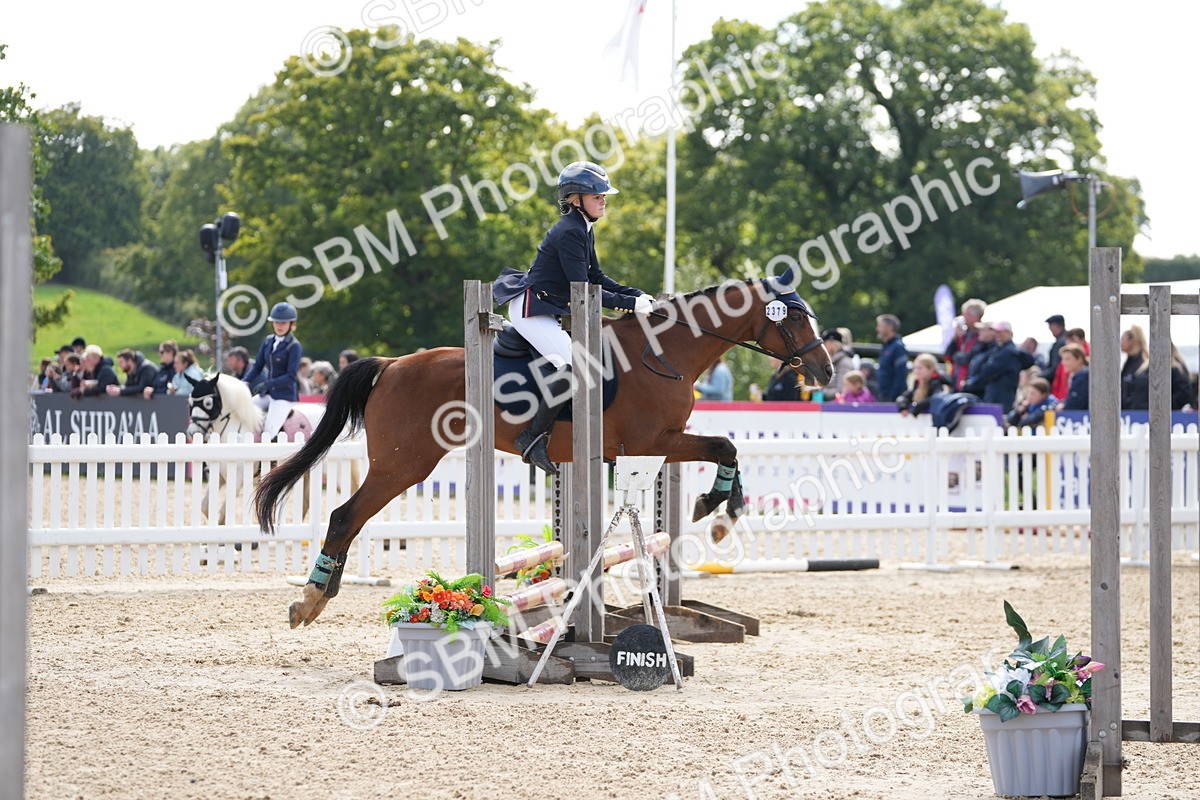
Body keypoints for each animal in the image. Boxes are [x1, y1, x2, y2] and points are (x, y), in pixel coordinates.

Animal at [255, 275, 833, 628]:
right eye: (793, 318)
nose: (825, 371)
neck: (663, 353)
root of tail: (393, 363)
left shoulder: (658, 448)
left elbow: (726, 449)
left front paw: (719, 512)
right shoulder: (654, 443)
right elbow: (724, 446)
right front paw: (716, 513)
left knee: (348, 517)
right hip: (404, 464)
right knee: (344, 515)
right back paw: (310, 600)